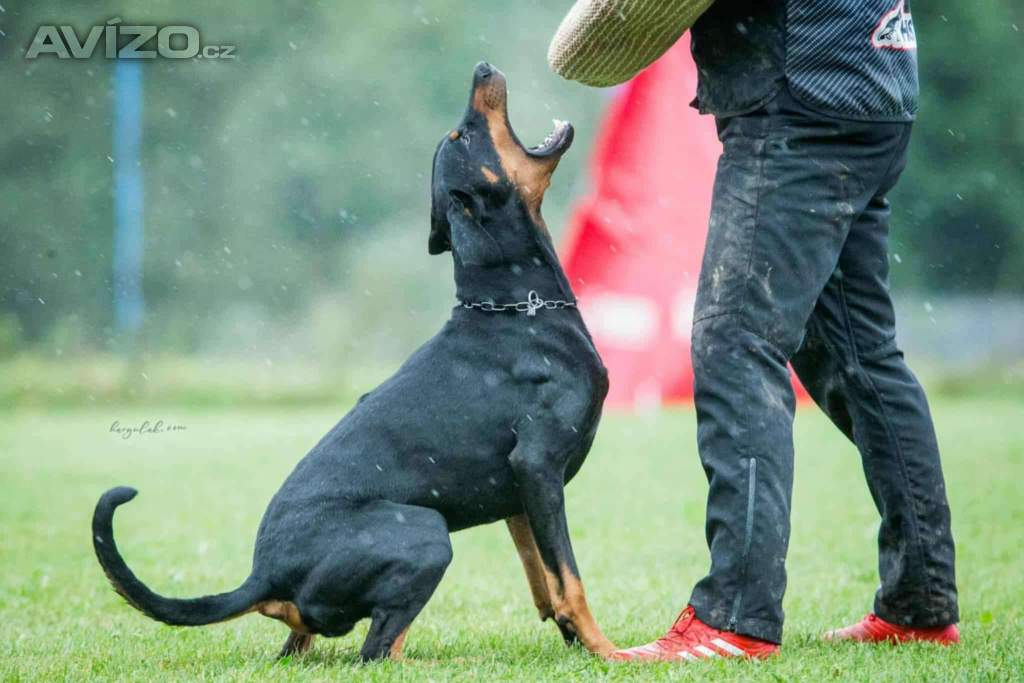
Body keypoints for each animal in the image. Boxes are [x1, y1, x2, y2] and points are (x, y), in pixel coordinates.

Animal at [93, 62, 614, 662]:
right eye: (463, 135)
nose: (482, 69)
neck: (516, 306)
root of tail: (263, 576)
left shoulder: (519, 496)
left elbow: (543, 581)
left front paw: (573, 642)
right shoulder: (538, 467)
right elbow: (570, 579)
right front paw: (607, 650)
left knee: (309, 645)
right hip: (426, 532)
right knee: (376, 649)